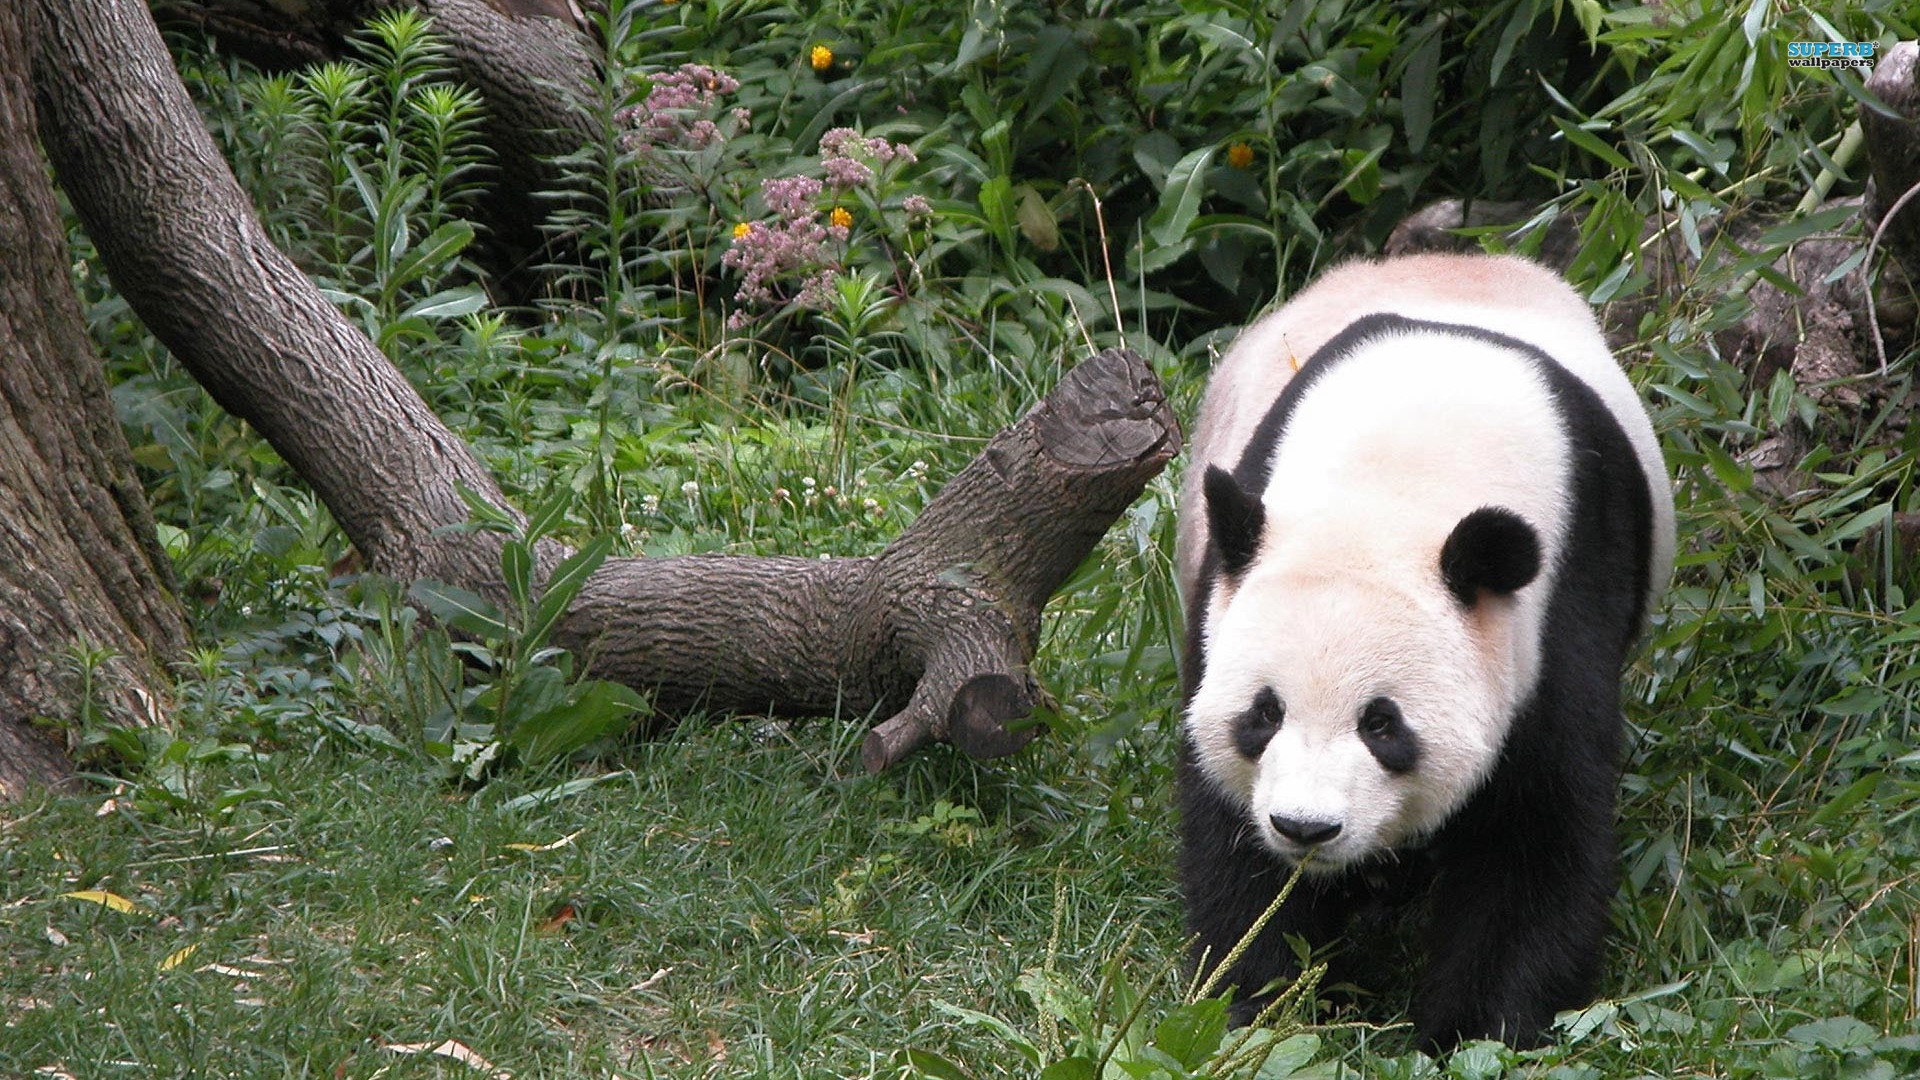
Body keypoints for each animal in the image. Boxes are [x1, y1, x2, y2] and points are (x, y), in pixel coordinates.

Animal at [1174, 253, 1675, 1050]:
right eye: (1264, 714)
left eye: (1383, 724)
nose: (1305, 828)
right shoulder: (1224, 603)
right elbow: (1231, 836)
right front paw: (1257, 1001)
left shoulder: (1563, 601)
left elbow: (1534, 834)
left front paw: (1475, 1031)